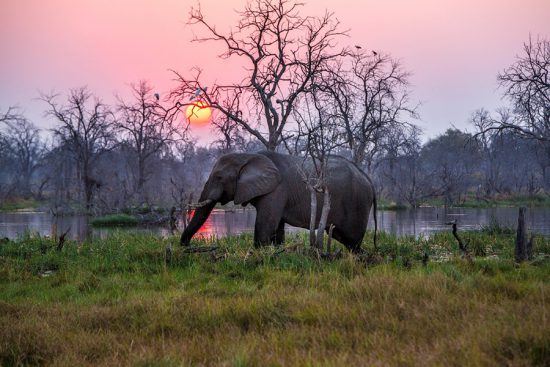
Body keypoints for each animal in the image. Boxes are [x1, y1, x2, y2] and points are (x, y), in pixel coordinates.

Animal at [182, 150, 380, 253]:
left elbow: (265, 226)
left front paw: (258, 253)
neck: (247, 157)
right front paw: (277, 250)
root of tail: (368, 178)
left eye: (219, 177)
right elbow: (276, 229)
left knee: (352, 240)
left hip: (357, 203)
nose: (186, 247)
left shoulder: (276, 190)